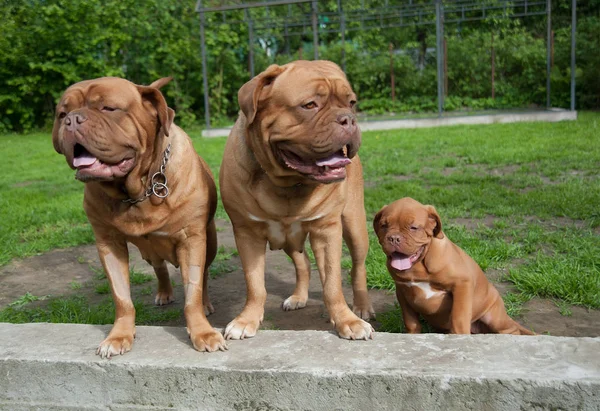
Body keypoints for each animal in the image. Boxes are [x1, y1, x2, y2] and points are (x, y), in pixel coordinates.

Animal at [52, 76, 227, 358]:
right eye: (61, 114)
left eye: (108, 108)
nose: (73, 120)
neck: (138, 190)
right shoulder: (108, 243)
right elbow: (122, 298)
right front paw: (118, 336)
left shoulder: (191, 239)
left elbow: (193, 293)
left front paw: (203, 332)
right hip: (150, 252)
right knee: (159, 268)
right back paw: (164, 293)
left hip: (209, 242)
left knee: (204, 275)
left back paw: (206, 302)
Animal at [217, 58, 376, 342]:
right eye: (309, 105)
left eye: (351, 102)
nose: (348, 119)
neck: (287, 183)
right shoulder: (247, 233)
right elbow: (255, 284)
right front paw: (246, 320)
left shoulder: (327, 230)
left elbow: (333, 283)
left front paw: (347, 321)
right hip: (289, 238)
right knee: (302, 264)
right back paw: (298, 297)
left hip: (355, 226)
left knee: (357, 267)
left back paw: (362, 307)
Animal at [376, 198, 536, 336]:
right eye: (384, 226)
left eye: (413, 227)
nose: (394, 238)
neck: (419, 265)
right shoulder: (402, 290)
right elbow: (411, 321)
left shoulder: (462, 284)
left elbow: (459, 317)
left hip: (494, 317)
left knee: (511, 330)